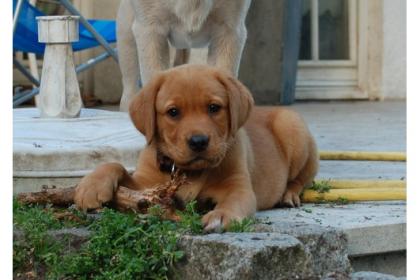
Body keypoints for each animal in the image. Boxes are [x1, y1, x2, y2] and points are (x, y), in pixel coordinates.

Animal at [75, 64, 318, 231]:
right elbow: (115, 165)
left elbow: (233, 201)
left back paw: (289, 195)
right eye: (173, 112)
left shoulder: (239, 187)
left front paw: (221, 216)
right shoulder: (145, 186)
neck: (189, 171)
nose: (199, 141)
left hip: (292, 125)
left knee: (302, 179)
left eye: (214, 108)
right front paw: (90, 187)